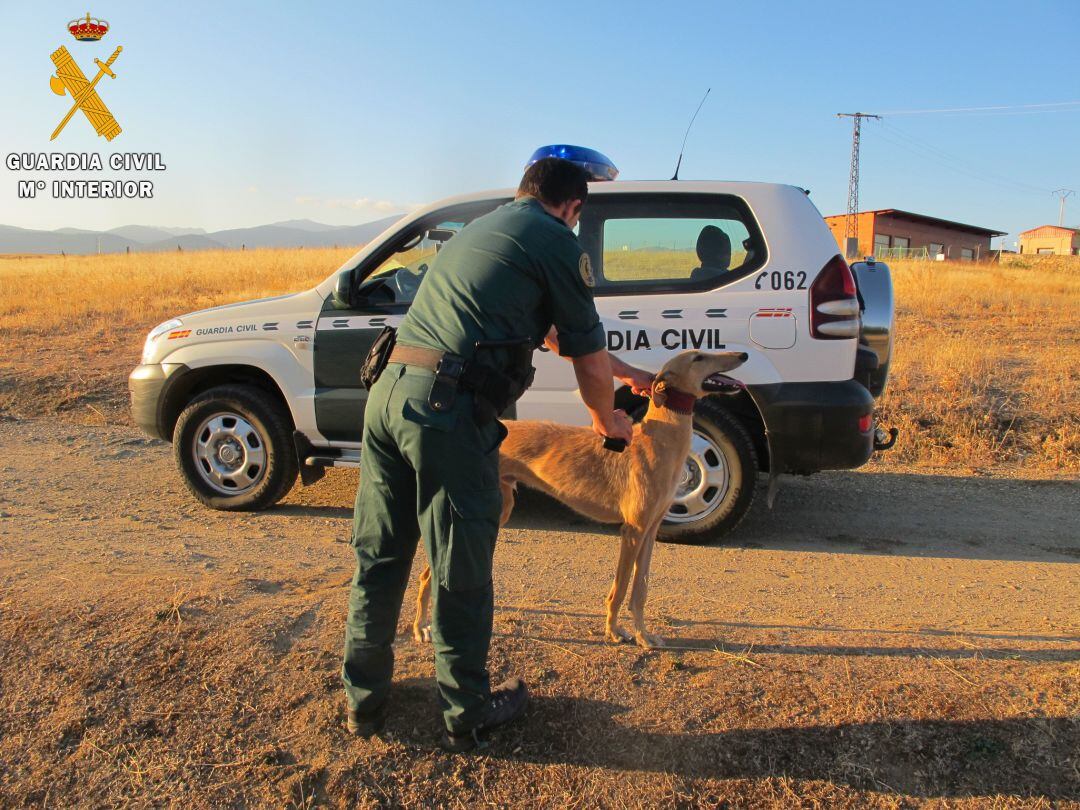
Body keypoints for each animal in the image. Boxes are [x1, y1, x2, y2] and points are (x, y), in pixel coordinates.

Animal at [412, 349, 751, 652]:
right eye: (698, 357)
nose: (743, 355)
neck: (657, 439)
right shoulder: (632, 530)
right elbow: (620, 588)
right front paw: (614, 632)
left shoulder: (651, 529)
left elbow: (640, 589)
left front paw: (644, 636)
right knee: (429, 573)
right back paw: (421, 627)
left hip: (501, 508)